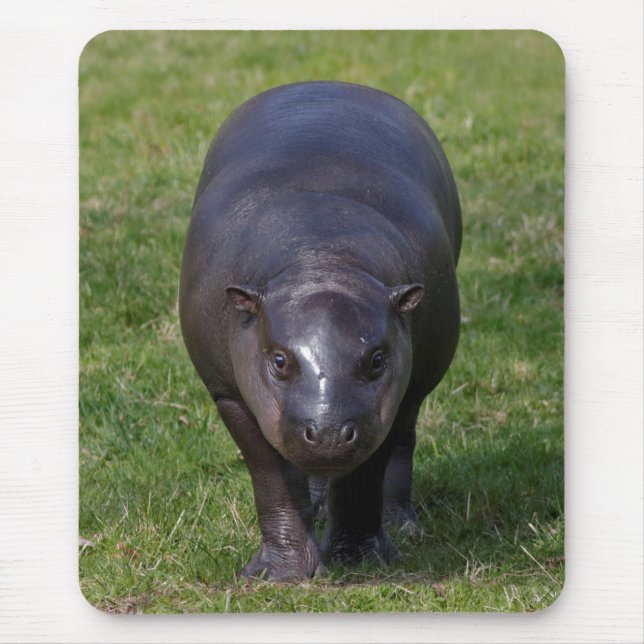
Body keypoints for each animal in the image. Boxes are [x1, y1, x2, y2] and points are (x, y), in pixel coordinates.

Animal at [179, 81, 461, 581]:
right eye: (278, 360)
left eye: (377, 359)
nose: (328, 433)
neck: (321, 256)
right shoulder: (229, 393)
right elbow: (271, 478)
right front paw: (280, 575)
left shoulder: (390, 398)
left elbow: (365, 474)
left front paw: (360, 561)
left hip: (412, 390)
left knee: (402, 445)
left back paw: (401, 526)